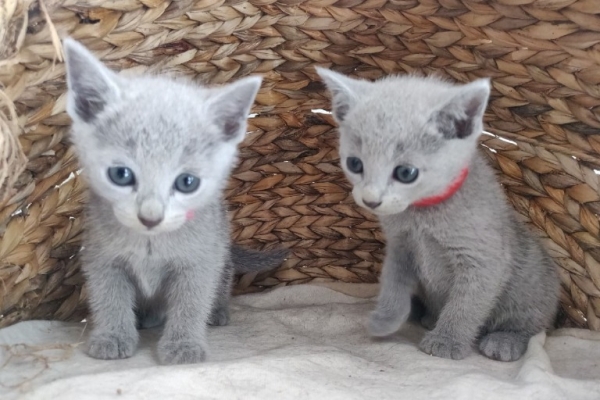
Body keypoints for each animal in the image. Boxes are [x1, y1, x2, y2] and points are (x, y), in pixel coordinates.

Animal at [63, 39, 286, 366]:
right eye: (121, 174)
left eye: (187, 182)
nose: (150, 217)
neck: (150, 244)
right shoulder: (100, 256)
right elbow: (109, 297)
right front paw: (112, 336)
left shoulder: (200, 260)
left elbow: (191, 302)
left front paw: (183, 344)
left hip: (220, 249)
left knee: (222, 281)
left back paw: (218, 312)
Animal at [316, 69, 560, 362]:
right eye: (355, 164)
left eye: (405, 173)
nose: (371, 200)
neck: (421, 215)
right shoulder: (401, 246)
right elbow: (393, 283)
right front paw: (387, 318)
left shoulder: (482, 260)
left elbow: (466, 305)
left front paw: (448, 340)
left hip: (530, 285)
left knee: (532, 325)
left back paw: (505, 341)